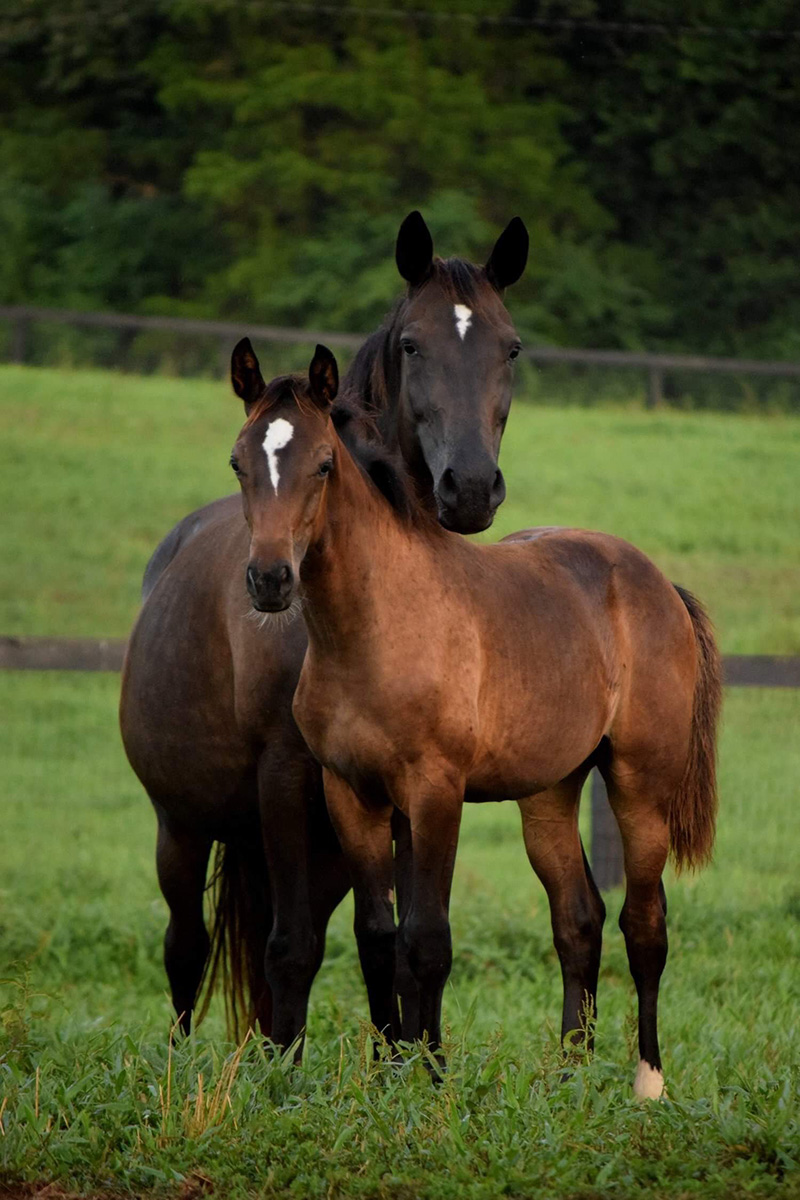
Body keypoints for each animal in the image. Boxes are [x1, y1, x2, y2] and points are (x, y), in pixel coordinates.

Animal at [118, 211, 527, 1046]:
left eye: (510, 347)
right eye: (414, 344)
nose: (469, 488)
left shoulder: (399, 794)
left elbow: (392, 940)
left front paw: (401, 1057)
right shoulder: (284, 776)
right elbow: (294, 949)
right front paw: (289, 1073)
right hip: (183, 825)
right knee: (188, 947)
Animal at [231, 345, 724, 1099]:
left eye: (322, 465)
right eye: (238, 463)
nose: (270, 580)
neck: (377, 628)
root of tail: (659, 584)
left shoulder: (436, 793)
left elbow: (427, 939)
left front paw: (431, 1077)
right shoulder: (352, 794)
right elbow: (378, 937)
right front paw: (390, 1072)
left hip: (641, 784)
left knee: (645, 922)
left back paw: (647, 1083)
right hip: (548, 792)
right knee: (578, 920)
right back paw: (569, 1075)